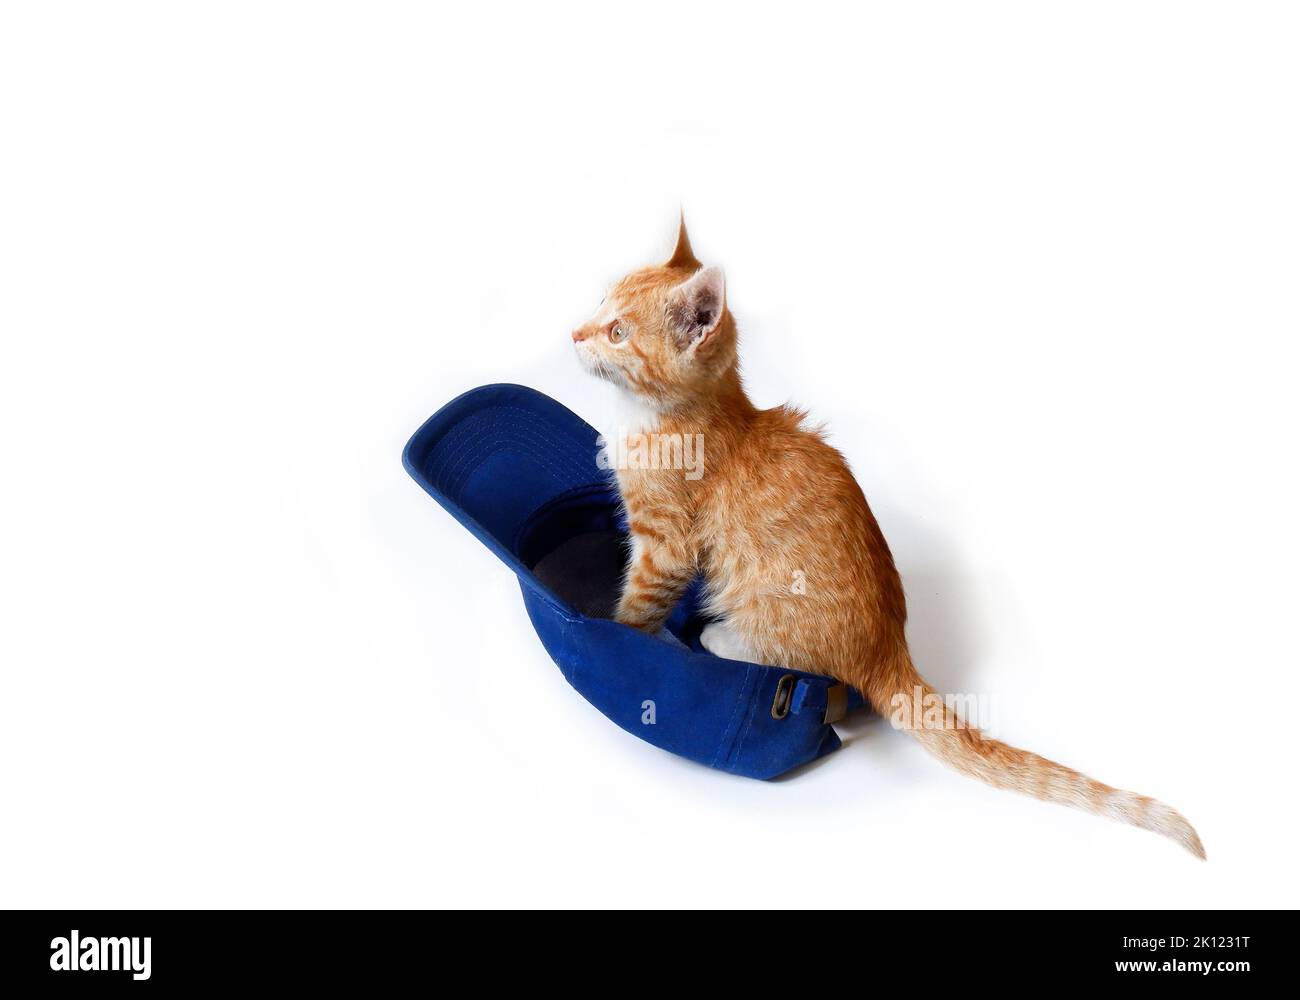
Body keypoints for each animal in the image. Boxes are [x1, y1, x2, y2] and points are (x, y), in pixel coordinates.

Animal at [574, 221, 1201, 858]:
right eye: (599, 304)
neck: (665, 419)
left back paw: (721, 638)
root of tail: (888, 650)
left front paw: (615, 633)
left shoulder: (667, 545)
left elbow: (639, 605)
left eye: (618, 331)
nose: (574, 334)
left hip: (763, 603)